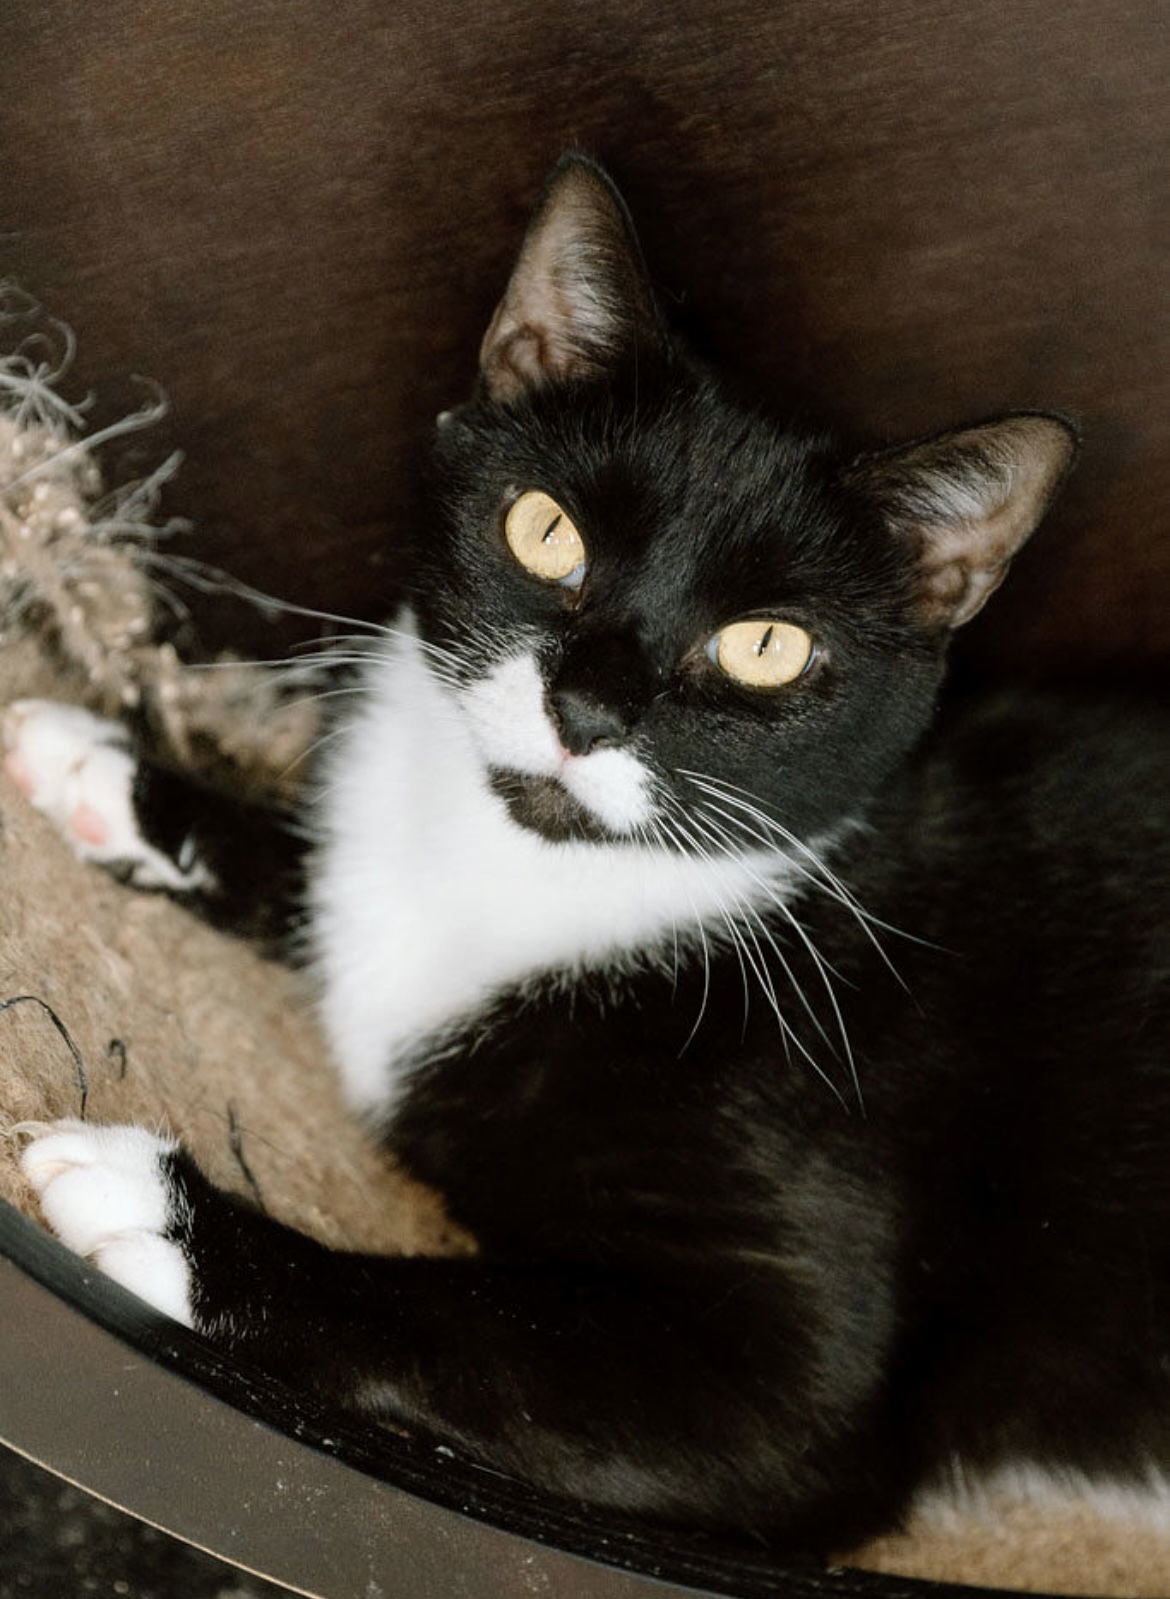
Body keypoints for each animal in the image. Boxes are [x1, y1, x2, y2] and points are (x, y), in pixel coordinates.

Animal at [9, 155, 1170, 1554]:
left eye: (767, 646)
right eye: (546, 530)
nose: (590, 707)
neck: (533, 873)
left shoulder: (788, 1366)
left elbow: (477, 1318)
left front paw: (161, 1209)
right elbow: (329, 871)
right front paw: (112, 774)